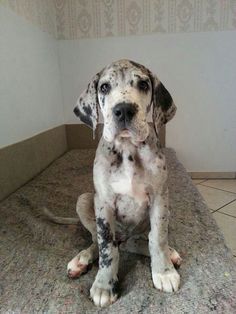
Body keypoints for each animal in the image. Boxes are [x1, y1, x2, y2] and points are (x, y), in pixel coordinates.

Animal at [49, 59, 181, 306]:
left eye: (143, 84)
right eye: (104, 87)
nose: (124, 110)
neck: (128, 149)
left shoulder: (160, 197)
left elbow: (158, 238)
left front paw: (164, 272)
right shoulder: (104, 204)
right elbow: (106, 248)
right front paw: (104, 285)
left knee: (139, 241)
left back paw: (170, 253)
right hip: (84, 200)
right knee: (98, 239)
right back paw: (82, 259)